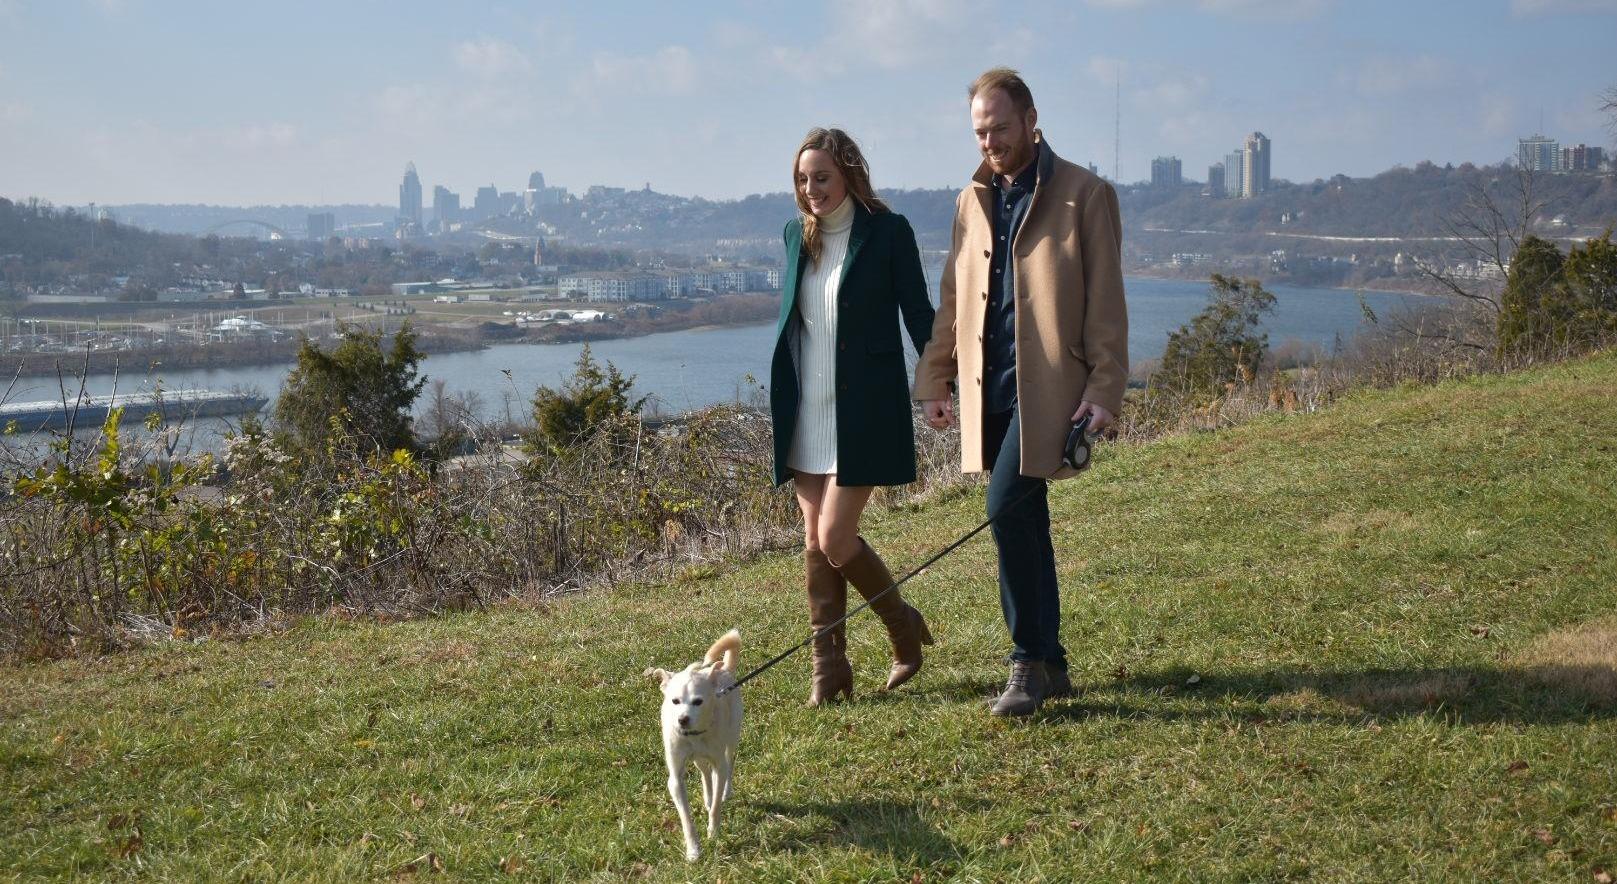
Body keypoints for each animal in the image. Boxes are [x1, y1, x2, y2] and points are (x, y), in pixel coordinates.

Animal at [644, 629, 742, 861]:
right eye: (675, 701)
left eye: (698, 702)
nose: (682, 719)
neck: (695, 736)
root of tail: (723, 669)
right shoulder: (676, 779)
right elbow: (686, 818)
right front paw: (693, 849)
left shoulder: (718, 764)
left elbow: (716, 805)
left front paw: (713, 832)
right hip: (697, 759)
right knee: (704, 772)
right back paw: (707, 795)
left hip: (731, 739)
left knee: (728, 764)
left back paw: (725, 791)